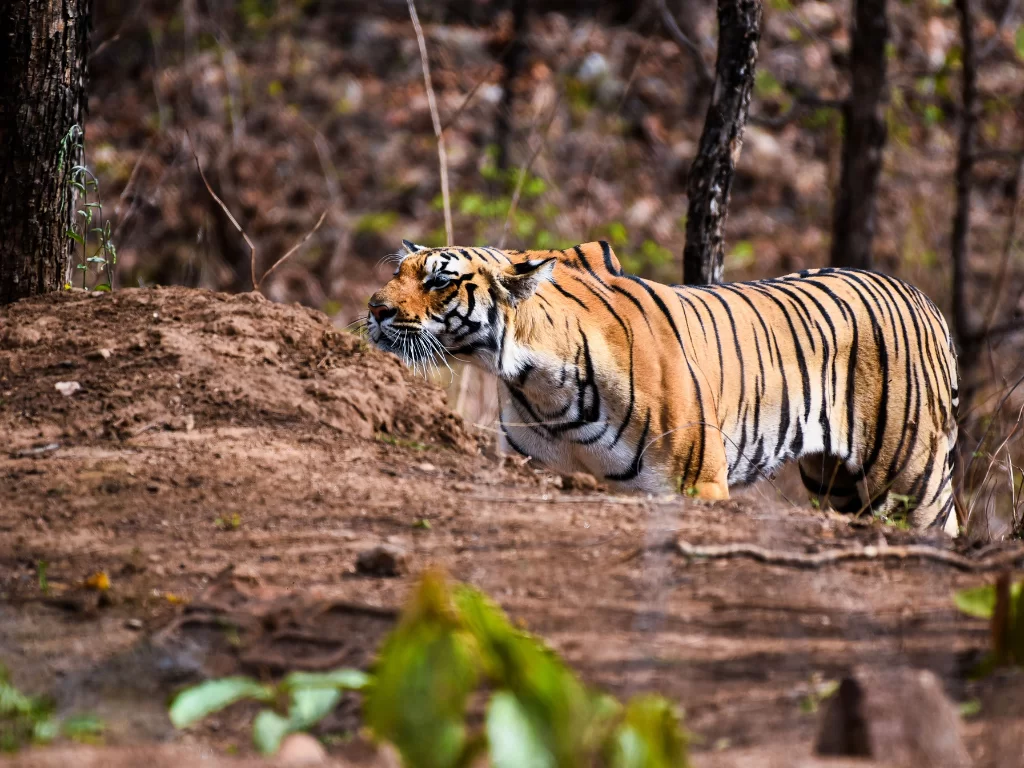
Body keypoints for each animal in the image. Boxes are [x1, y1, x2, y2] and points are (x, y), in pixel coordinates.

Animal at [367, 240, 960, 535]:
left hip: (913, 481)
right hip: (835, 483)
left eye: (440, 279)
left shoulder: (698, 485)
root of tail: (924, 298)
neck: (538, 384)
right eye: (399, 271)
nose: (375, 308)